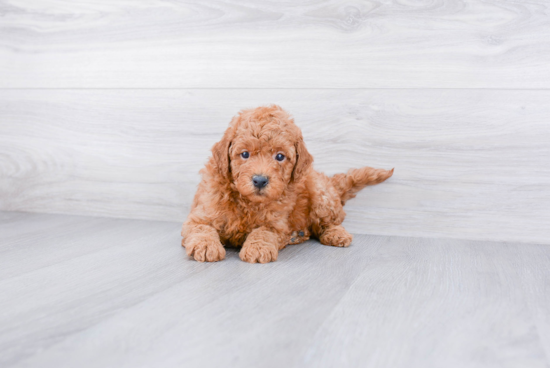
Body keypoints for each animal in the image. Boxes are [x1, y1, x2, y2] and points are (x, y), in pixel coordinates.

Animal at [183, 105, 394, 264]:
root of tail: (327, 180)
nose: (260, 180)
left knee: (332, 220)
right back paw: (298, 234)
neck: (247, 202)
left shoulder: (276, 224)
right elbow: (201, 228)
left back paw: (335, 234)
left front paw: (258, 248)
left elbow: (264, 231)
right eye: (244, 154)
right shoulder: (200, 214)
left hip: (321, 194)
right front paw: (206, 245)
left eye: (280, 156)